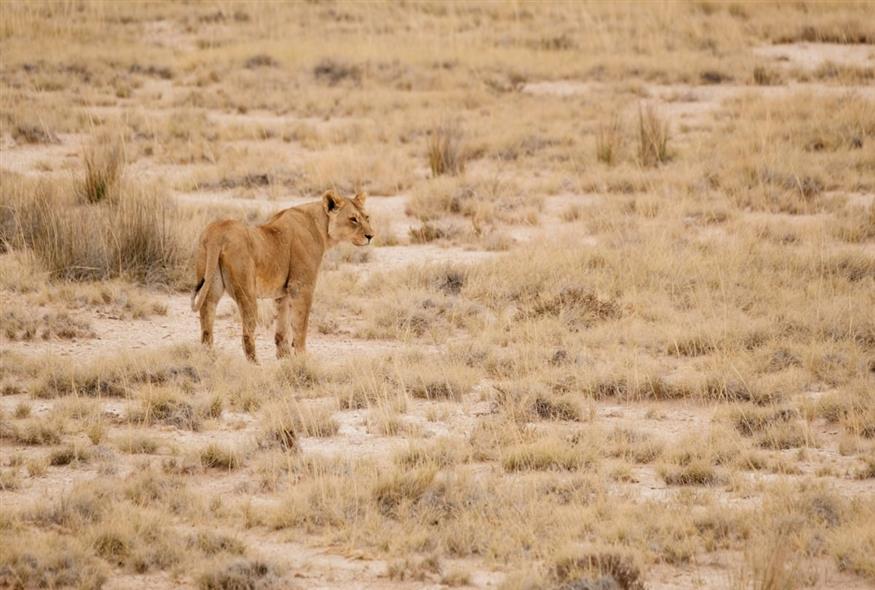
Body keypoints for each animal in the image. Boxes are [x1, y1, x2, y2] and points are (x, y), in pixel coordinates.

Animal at [192, 192, 372, 364]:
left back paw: (208, 359)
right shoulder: (301, 286)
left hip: (211, 286)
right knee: (246, 333)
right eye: (353, 219)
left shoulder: (282, 292)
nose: (371, 236)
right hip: (247, 292)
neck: (322, 226)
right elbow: (300, 325)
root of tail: (217, 231)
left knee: (206, 325)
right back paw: (255, 365)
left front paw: (284, 356)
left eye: (367, 217)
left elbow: (282, 327)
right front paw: (302, 357)